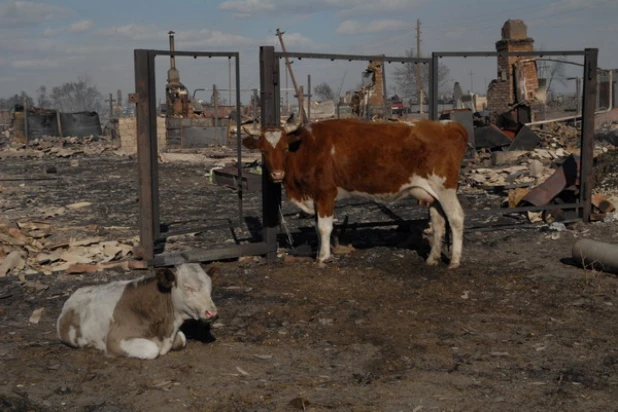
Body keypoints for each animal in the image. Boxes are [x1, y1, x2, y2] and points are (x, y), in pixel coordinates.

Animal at [56, 264, 219, 358]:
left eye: (210, 287)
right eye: (188, 288)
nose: (212, 313)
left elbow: (182, 339)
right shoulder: (114, 340)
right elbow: (151, 349)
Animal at [243, 115, 464, 268]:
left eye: (285, 148)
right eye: (263, 150)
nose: (277, 174)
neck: (307, 148)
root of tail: (449, 125)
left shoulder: (326, 193)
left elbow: (324, 227)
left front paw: (323, 257)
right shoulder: (315, 197)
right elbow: (316, 227)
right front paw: (319, 252)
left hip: (445, 188)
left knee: (455, 218)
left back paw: (454, 260)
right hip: (432, 193)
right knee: (438, 222)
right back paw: (433, 258)